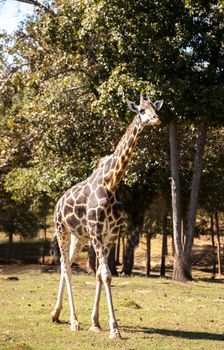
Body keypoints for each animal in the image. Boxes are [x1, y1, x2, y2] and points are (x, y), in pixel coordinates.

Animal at [50, 93, 163, 340]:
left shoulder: (111, 233)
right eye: (141, 110)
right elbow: (106, 274)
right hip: (61, 229)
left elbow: (102, 275)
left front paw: (96, 322)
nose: (156, 119)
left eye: (155, 108)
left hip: (78, 236)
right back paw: (73, 321)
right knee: (66, 266)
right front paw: (114, 329)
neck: (111, 183)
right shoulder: (96, 230)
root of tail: (58, 203)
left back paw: (56, 314)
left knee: (67, 263)